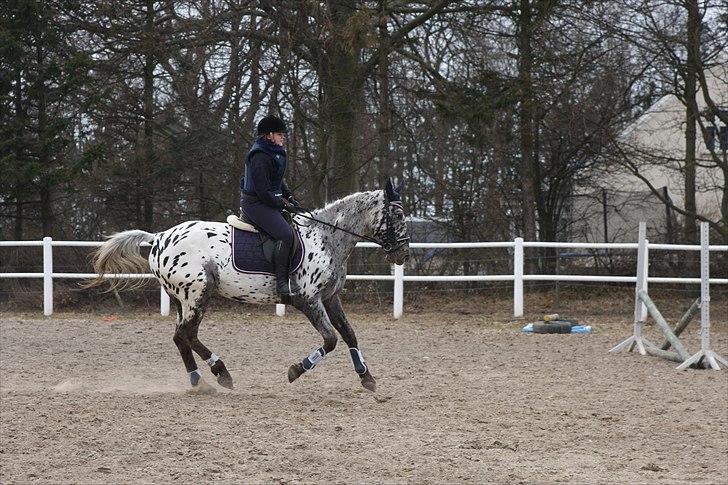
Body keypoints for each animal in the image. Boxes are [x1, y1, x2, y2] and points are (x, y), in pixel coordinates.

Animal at [86, 178, 410, 394]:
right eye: (397, 215)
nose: (403, 255)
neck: (325, 238)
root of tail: (158, 238)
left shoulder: (330, 298)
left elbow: (349, 334)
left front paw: (366, 377)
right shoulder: (308, 300)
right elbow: (330, 339)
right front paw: (296, 370)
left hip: (181, 299)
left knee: (181, 337)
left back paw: (199, 381)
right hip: (198, 292)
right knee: (187, 334)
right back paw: (221, 373)